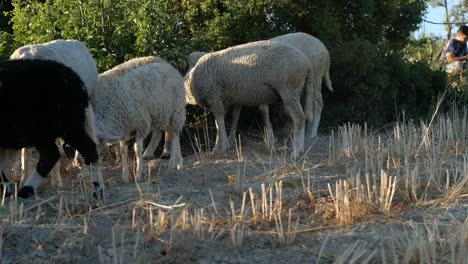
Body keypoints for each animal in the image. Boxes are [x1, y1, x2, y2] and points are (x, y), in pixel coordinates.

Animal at [0, 58, 105, 198]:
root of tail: (76, 80)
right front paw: (6, 190)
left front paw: (6, 190)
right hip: (43, 131)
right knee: (51, 155)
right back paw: (25, 190)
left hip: (66, 124)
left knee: (88, 150)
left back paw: (98, 192)